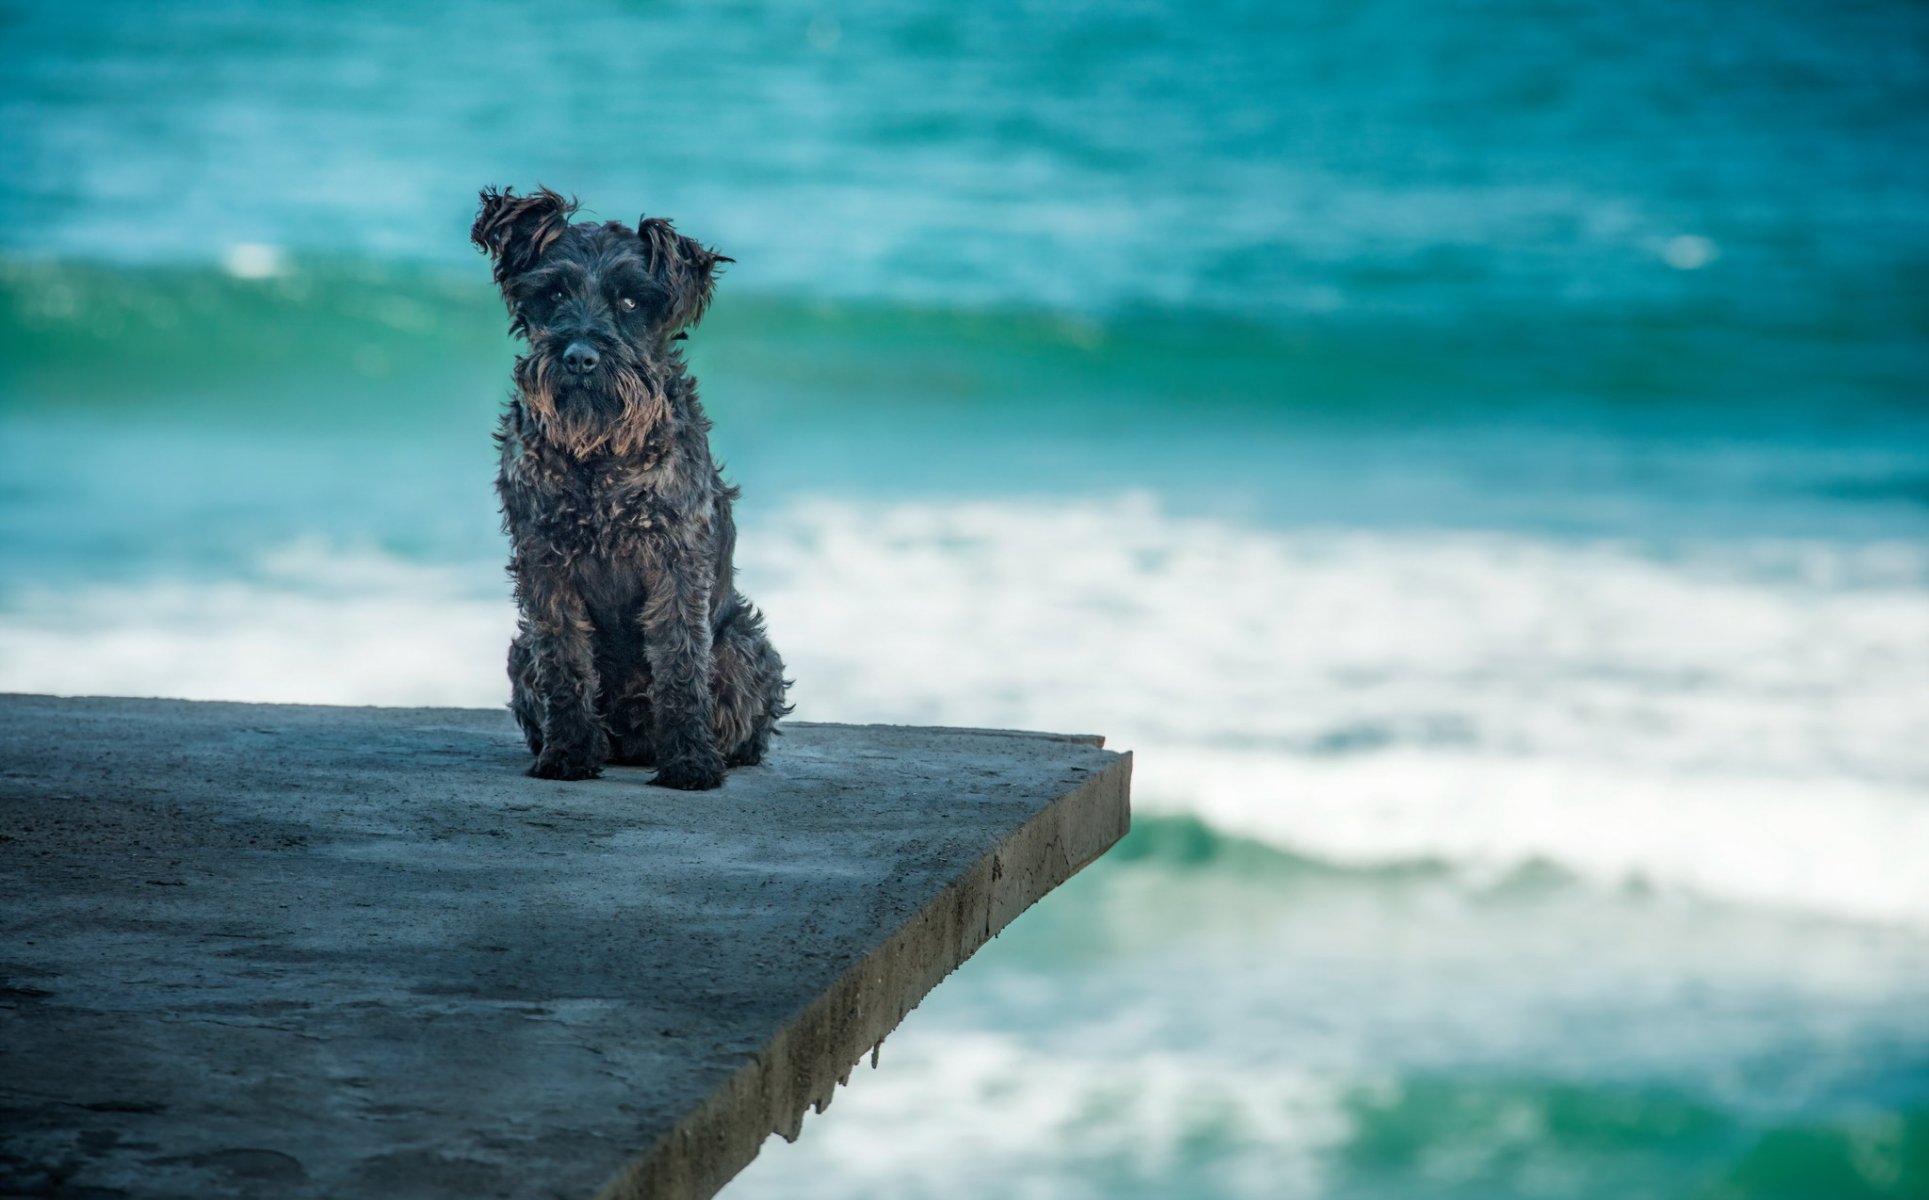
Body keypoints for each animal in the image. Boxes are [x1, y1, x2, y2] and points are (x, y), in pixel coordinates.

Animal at [470, 188, 787, 790]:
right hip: (520, 652)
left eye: (632, 301)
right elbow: (565, 658)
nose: (580, 357)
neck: (600, 453)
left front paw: (690, 762)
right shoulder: (544, 560)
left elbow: (681, 660)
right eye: (554, 292)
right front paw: (568, 754)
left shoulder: (675, 558)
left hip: (744, 646)